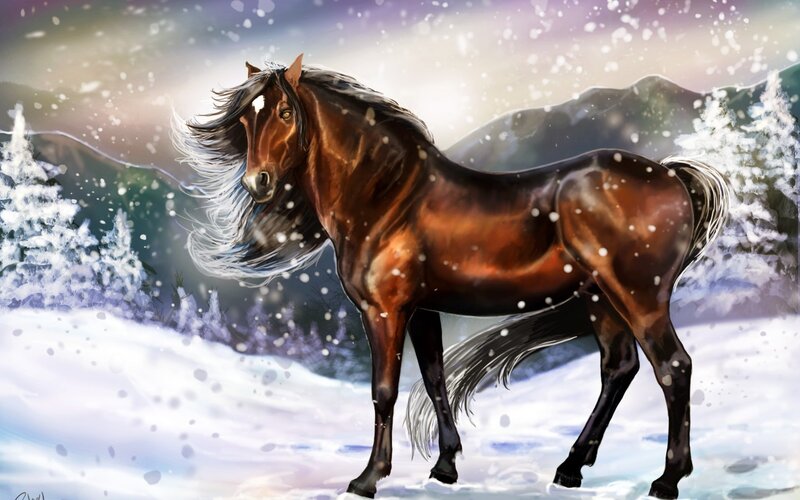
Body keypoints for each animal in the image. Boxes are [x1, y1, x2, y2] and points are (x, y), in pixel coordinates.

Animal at [175, 54, 729, 499]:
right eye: (245, 119)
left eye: (285, 112)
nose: (258, 182)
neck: (387, 198)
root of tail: (672, 174)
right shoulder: (423, 309)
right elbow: (435, 379)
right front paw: (445, 466)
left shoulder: (385, 312)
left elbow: (384, 389)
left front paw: (368, 478)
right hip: (600, 300)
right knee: (618, 368)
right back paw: (571, 468)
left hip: (637, 297)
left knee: (672, 368)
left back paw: (667, 479)